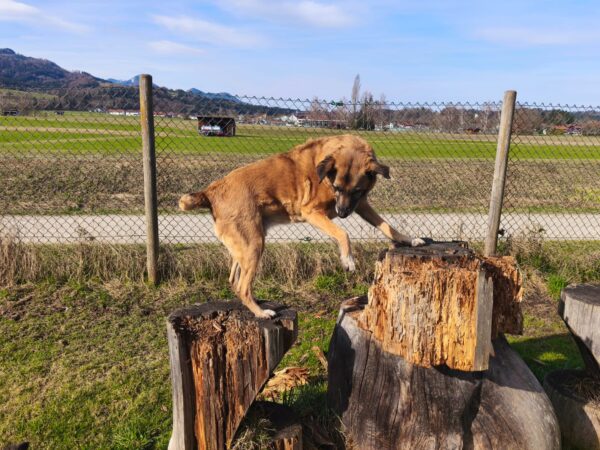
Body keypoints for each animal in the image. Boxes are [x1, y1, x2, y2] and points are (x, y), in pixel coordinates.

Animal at [179, 134, 426, 318]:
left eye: (356, 190)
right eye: (337, 187)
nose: (342, 213)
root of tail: (211, 190)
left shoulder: (361, 204)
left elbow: (386, 226)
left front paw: (408, 239)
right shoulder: (312, 212)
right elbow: (343, 233)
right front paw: (348, 259)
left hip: (243, 245)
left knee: (234, 281)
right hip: (254, 244)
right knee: (242, 286)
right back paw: (261, 312)